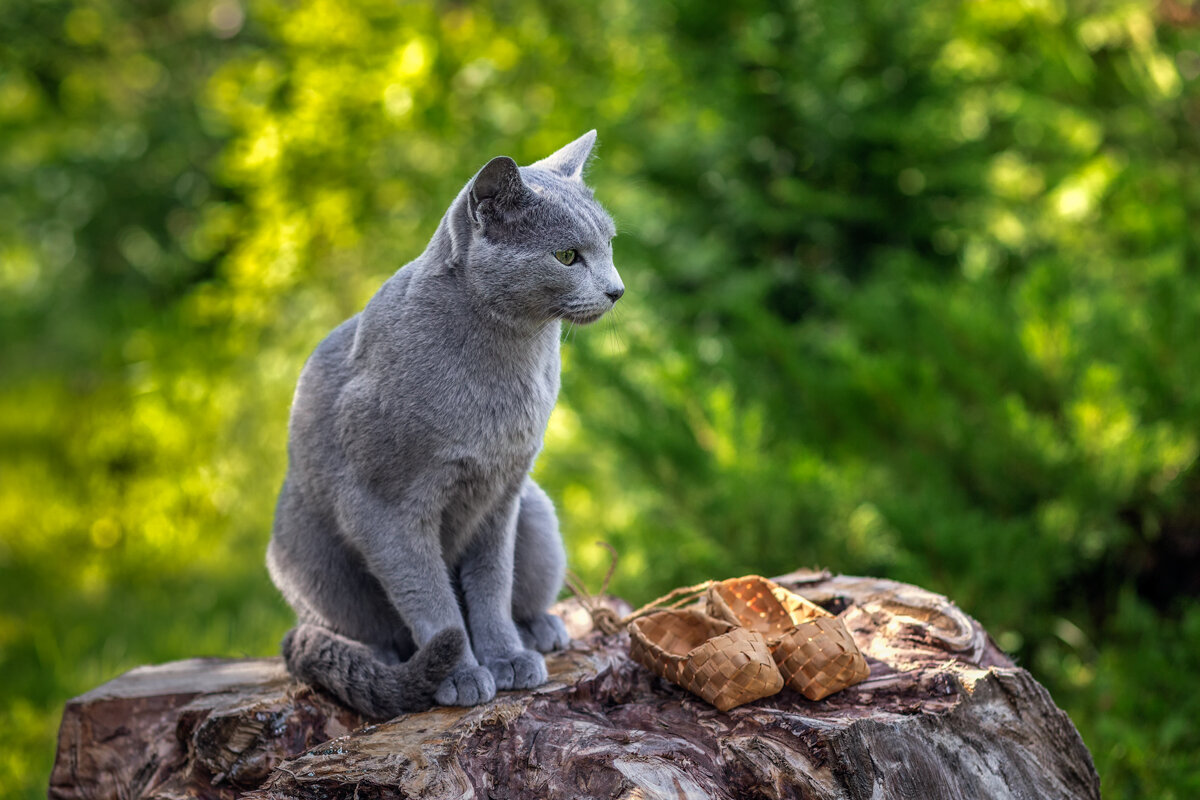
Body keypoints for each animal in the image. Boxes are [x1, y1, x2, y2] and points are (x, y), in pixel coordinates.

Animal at [267, 133, 624, 719]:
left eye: (610, 246)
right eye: (567, 255)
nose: (618, 289)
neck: (513, 360)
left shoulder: (502, 493)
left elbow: (491, 586)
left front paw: (506, 659)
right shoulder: (385, 508)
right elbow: (432, 600)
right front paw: (461, 673)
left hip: (537, 512)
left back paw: (541, 631)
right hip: (307, 558)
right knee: (360, 631)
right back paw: (386, 660)